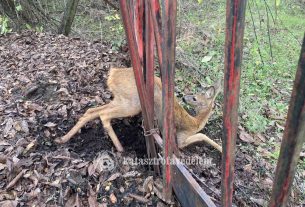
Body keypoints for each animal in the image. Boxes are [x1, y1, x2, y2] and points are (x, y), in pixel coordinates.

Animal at [54, 67, 221, 153]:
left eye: (194, 97)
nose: (184, 97)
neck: (195, 122)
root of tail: (113, 72)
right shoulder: (180, 138)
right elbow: (202, 136)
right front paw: (220, 148)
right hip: (132, 104)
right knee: (104, 114)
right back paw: (121, 149)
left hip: (120, 99)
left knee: (91, 111)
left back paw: (62, 139)